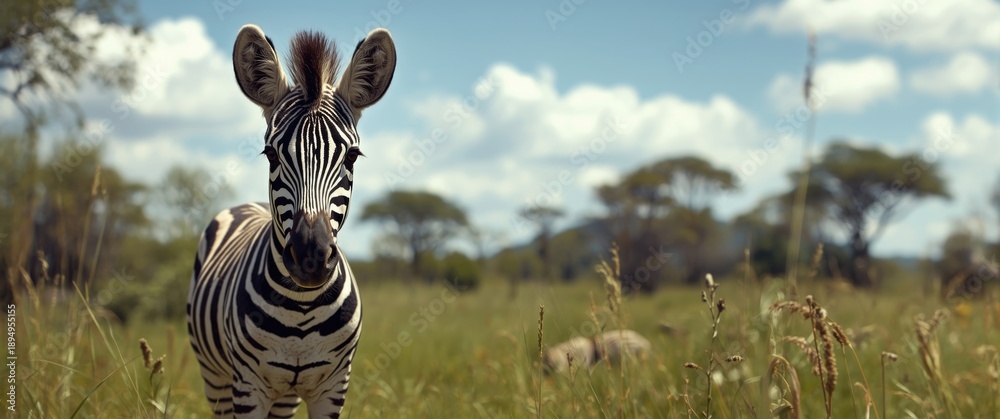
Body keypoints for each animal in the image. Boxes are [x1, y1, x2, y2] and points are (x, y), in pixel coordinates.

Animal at [187, 24, 396, 418]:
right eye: (270, 154)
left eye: (352, 156)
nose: (311, 257)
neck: (302, 308)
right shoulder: (247, 386)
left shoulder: (333, 386)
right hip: (214, 377)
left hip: (285, 397)